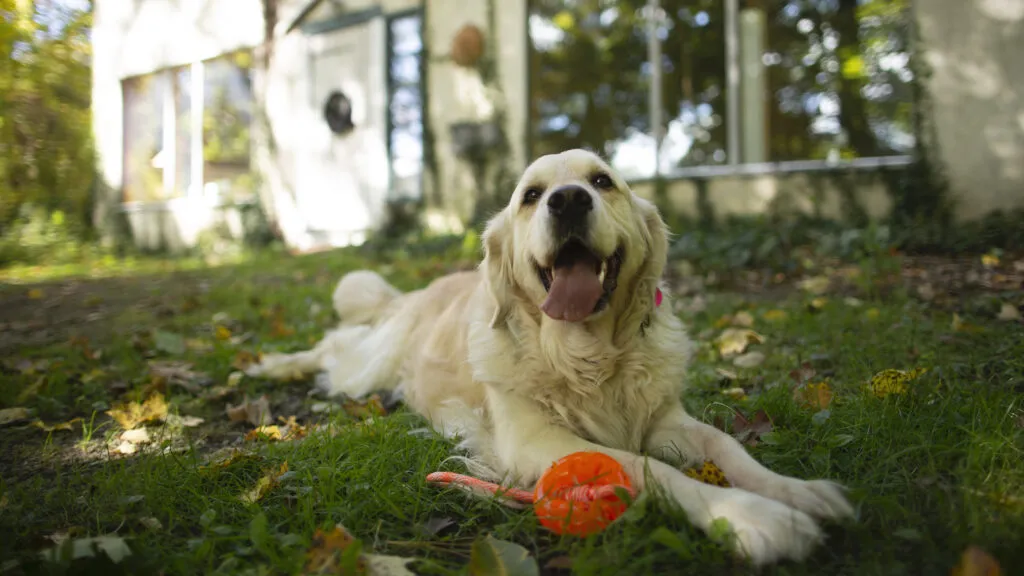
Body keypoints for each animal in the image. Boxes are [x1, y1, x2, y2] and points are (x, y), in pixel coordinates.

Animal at [249, 148, 856, 565]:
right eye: (532, 195)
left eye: (602, 181)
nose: (568, 200)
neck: (587, 356)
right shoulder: (535, 440)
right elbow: (648, 467)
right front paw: (752, 516)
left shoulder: (663, 418)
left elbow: (726, 446)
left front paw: (797, 493)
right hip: (368, 366)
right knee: (333, 348)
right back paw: (272, 365)